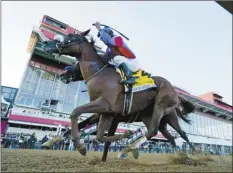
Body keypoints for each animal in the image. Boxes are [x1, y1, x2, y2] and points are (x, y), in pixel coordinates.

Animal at [41, 30, 193, 157]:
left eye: (71, 37)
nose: (46, 43)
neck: (100, 74)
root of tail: (175, 92)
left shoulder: (105, 105)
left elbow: (75, 112)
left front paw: (80, 146)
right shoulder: (105, 113)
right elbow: (96, 134)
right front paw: (49, 142)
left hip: (162, 108)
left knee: (165, 132)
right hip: (154, 117)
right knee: (168, 136)